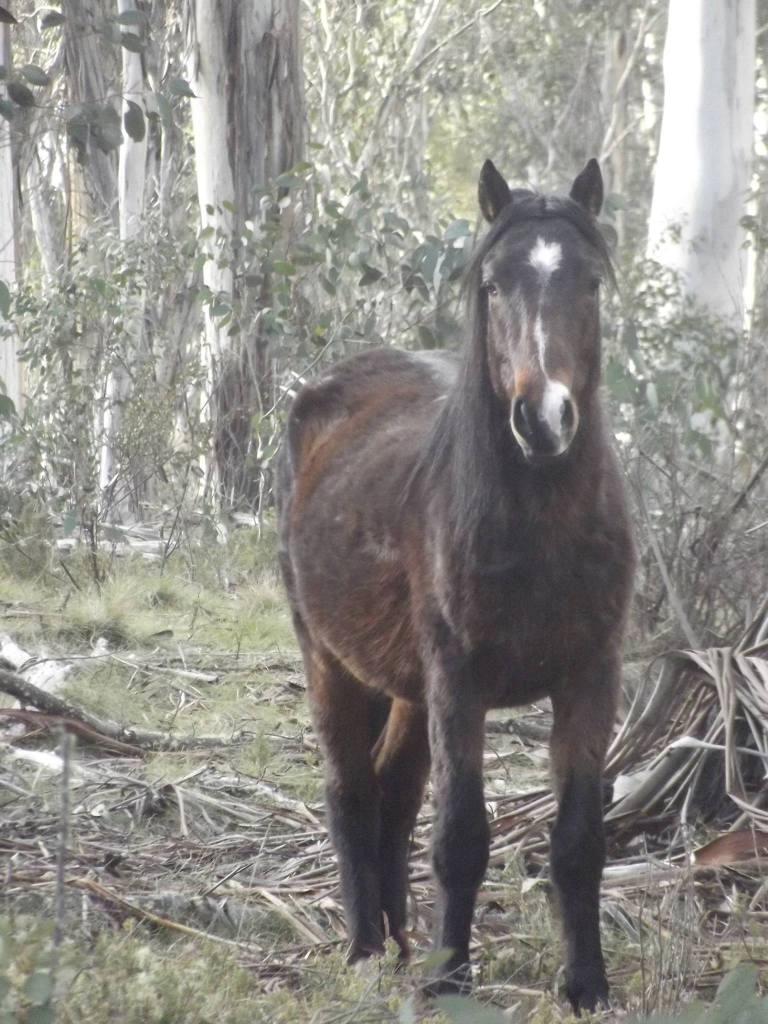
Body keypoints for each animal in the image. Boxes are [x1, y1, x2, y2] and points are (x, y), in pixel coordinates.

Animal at [276, 161, 638, 1015]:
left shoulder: (591, 676)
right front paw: (449, 980)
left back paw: (401, 940)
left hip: (406, 688)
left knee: (394, 794)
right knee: (350, 790)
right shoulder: (459, 682)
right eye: (494, 284)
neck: (541, 527)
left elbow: (579, 840)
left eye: (590, 281)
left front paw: (586, 983)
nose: (543, 418)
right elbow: (462, 835)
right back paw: (367, 949)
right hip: (332, 664)